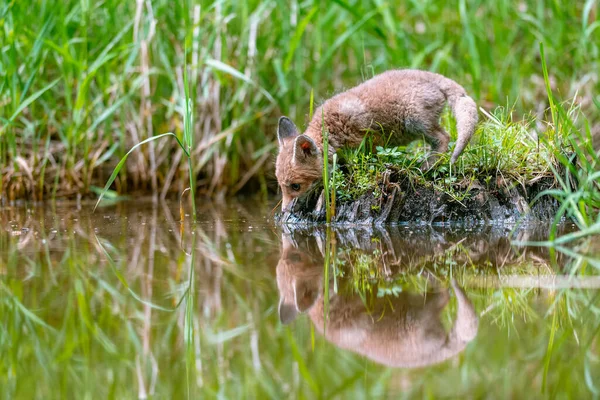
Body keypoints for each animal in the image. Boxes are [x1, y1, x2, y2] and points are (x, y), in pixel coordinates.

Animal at [276, 69, 478, 212]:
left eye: (295, 186)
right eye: (281, 187)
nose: (284, 212)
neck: (330, 130)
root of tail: (430, 75)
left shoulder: (369, 141)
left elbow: (365, 165)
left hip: (414, 120)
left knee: (444, 138)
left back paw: (427, 165)